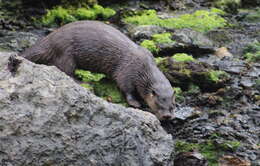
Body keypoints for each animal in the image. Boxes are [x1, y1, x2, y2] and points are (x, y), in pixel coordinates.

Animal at [20, 20, 175, 120]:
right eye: (158, 103)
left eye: (172, 106)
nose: (167, 116)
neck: (143, 68)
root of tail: (49, 39)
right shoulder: (127, 71)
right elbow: (126, 88)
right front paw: (135, 103)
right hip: (66, 53)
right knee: (65, 70)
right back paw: (82, 82)